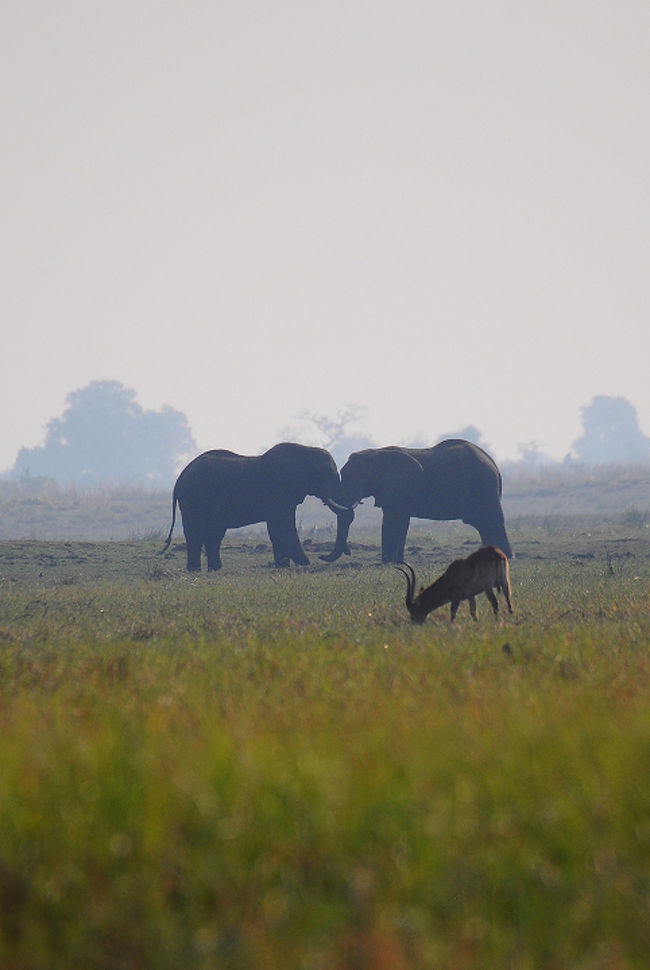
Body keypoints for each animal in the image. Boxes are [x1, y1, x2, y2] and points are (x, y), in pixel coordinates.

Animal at [165, 442, 352, 572]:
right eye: (326, 474)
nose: (322, 556)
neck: (305, 450)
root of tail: (179, 479)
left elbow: (277, 529)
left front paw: (283, 566)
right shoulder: (277, 491)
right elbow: (283, 526)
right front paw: (304, 564)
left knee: (214, 535)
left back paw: (215, 570)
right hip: (192, 499)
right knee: (195, 533)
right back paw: (195, 571)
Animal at [320, 436, 512, 564]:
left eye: (357, 479)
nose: (322, 556)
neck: (377, 454)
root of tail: (494, 464)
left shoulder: (399, 488)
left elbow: (393, 521)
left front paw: (387, 563)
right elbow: (399, 522)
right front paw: (397, 563)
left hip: (484, 488)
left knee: (492, 521)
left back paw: (506, 557)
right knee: (484, 524)